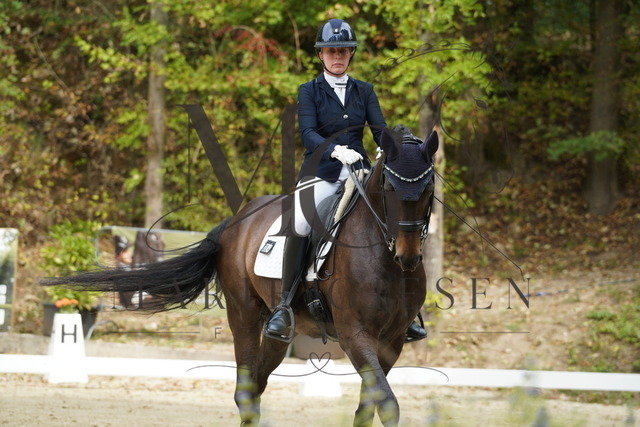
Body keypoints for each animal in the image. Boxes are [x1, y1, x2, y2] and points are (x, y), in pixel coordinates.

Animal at [42, 127, 438, 426]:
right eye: (389, 187)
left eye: (430, 188)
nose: (407, 256)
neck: (382, 258)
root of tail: (236, 220)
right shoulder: (356, 336)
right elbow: (387, 404)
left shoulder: (391, 343)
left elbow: (369, 408)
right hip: (244, 316)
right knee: (246, 390)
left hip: (280, 331)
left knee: (257, 385)